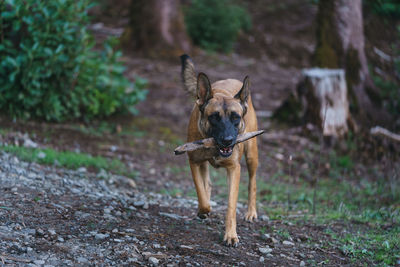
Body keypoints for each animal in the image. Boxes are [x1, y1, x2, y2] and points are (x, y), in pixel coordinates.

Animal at [180, 55, 258, 248]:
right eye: (214, 117)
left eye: (235, 117)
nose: (228, 140)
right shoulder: (194, 162)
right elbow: (201, 193)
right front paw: (204, 210)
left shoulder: (234, 169)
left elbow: (231, 205)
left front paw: (230, 235)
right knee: (206, 184)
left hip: (252, 155)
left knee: (252, 182)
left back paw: (251, 212)